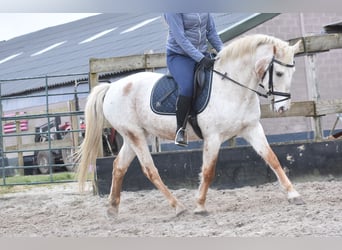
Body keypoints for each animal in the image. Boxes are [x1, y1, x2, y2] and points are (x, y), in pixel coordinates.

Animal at [76, 33, 304, 217]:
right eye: (279, 73)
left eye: (293, 74)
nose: (283, 108)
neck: (232, 87)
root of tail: (112, 86)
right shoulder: (213, 137)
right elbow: (208, 171)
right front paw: (200, 206)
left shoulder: (251, 129)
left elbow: (272, 158)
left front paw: (293, 194)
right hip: (134, 135)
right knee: (150, 169)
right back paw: (178, 207)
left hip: (136, 135)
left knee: (119, 167)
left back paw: (112, 209)